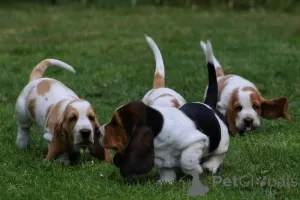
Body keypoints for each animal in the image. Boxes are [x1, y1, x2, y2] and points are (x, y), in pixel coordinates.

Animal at [99, 41, 229, 184]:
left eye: (116, 123)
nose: (98, 131)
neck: (160, 128)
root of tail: (208, 104)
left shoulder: (197, 141)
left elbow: (186, 160)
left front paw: (196, 170)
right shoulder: (162, 159)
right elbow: (166, 171)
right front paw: (165, 182)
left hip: (221, 141)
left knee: (219, 154)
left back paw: (209, 166)